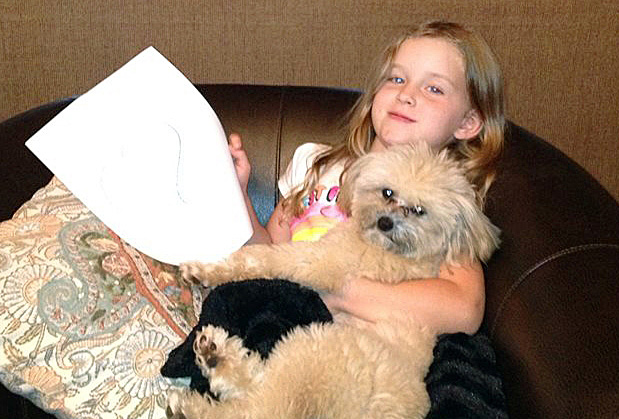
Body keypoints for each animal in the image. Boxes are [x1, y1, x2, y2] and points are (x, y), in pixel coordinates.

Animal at [167, 143, 502, 418]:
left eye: (420, 211)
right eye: (388, 192)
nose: (385, 222)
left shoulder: (315, 262)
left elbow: (259, 259)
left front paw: (205, 268)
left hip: (310, 350)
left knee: (257, 407)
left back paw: (188, 401)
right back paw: (213, 355)